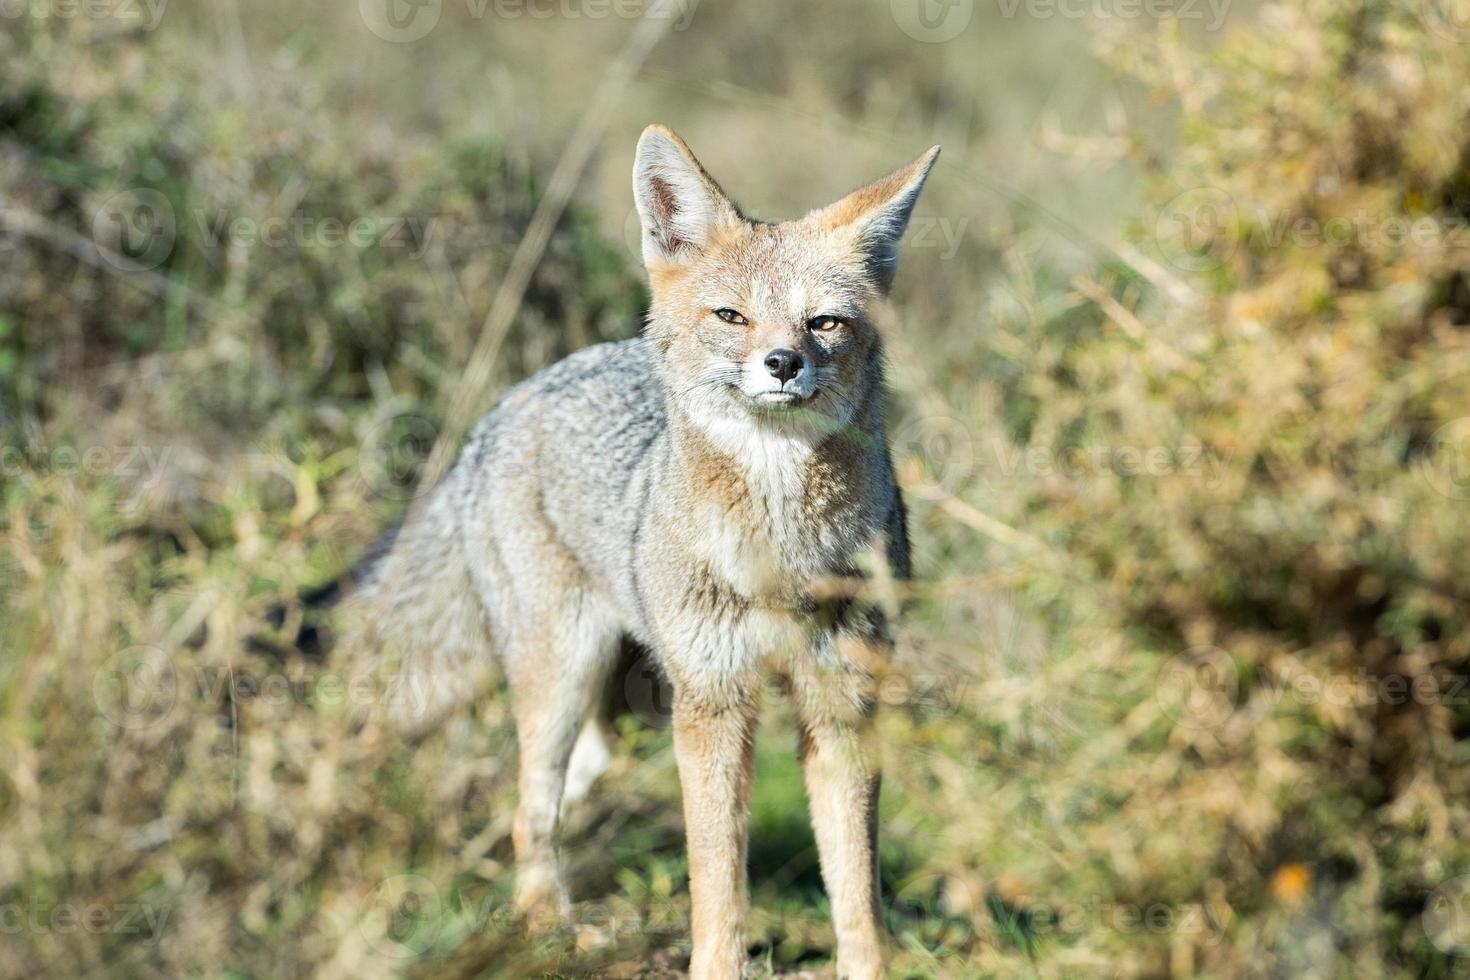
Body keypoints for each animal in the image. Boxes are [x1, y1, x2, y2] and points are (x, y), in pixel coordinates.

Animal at [349, 126, 934, 975]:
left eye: (823, 324)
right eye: (731, 316)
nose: (782, 364)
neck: (779, 551)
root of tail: (510, 399)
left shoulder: (840, 704)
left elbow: (857, 888)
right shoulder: (714, 706)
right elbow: (718, 883)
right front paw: (718, 967)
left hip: (626, 695)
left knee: (568, 784)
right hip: (566, 678)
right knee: (529, 812)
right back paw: (549, 929)